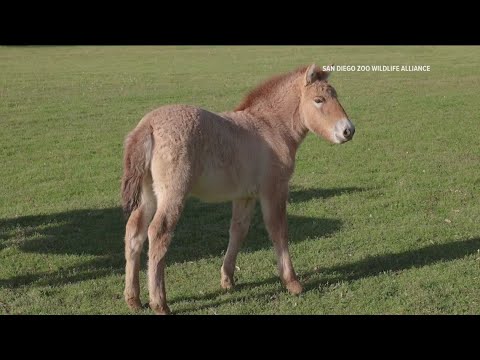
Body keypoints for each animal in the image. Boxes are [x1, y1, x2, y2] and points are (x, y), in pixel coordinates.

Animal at [123, 63, 356, 314]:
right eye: (319, 100)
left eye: (336, 96)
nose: (348, 131)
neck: (270, 127)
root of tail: (148, 125)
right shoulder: (274, 190)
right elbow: (278, 230)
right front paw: (292, 282)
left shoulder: (245, 196)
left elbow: (238, 231)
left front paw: (227, 279)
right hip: (173, 193)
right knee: (158, 233)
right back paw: (160, 303)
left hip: (148, 195)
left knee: (134, 232)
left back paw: (133, 299)